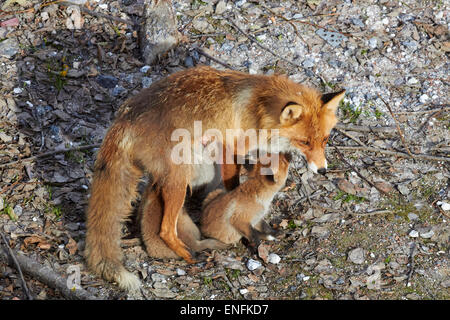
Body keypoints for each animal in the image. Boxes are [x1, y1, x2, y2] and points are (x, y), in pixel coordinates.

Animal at [84, 66, 344, 292]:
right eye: (304, 142)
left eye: (325, 140)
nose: (323, 170)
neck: (258, 109)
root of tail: (124, 117)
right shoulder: (231, 148)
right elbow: (234, 188)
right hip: (180, 178)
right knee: (166, 229)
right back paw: (189, 256)